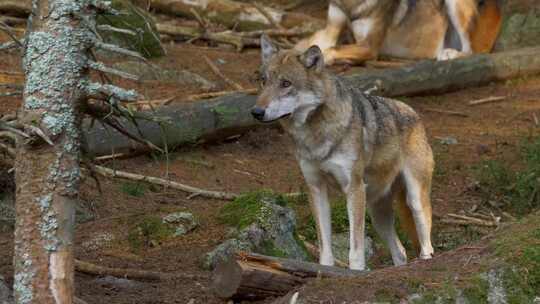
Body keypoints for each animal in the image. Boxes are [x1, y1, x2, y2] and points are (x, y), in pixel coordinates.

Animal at [252, 35, 434, 270]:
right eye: (263, 81)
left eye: (286, 84)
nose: (256, 112)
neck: (315, 134)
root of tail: (414, 113)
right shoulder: (316, 189)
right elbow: (325, 247)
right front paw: (327, 271)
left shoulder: (354, 189)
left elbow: (355, 249)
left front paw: (355, 272)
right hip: (377, 214)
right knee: (401, 251)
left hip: (414, 201)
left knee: (426, 242)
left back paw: (425, 259)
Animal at [296, 0, 502, 64]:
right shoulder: (330, 30)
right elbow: (309, 44)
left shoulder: (369, 46)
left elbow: (331, 50)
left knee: (473, 52)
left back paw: (450, 54)